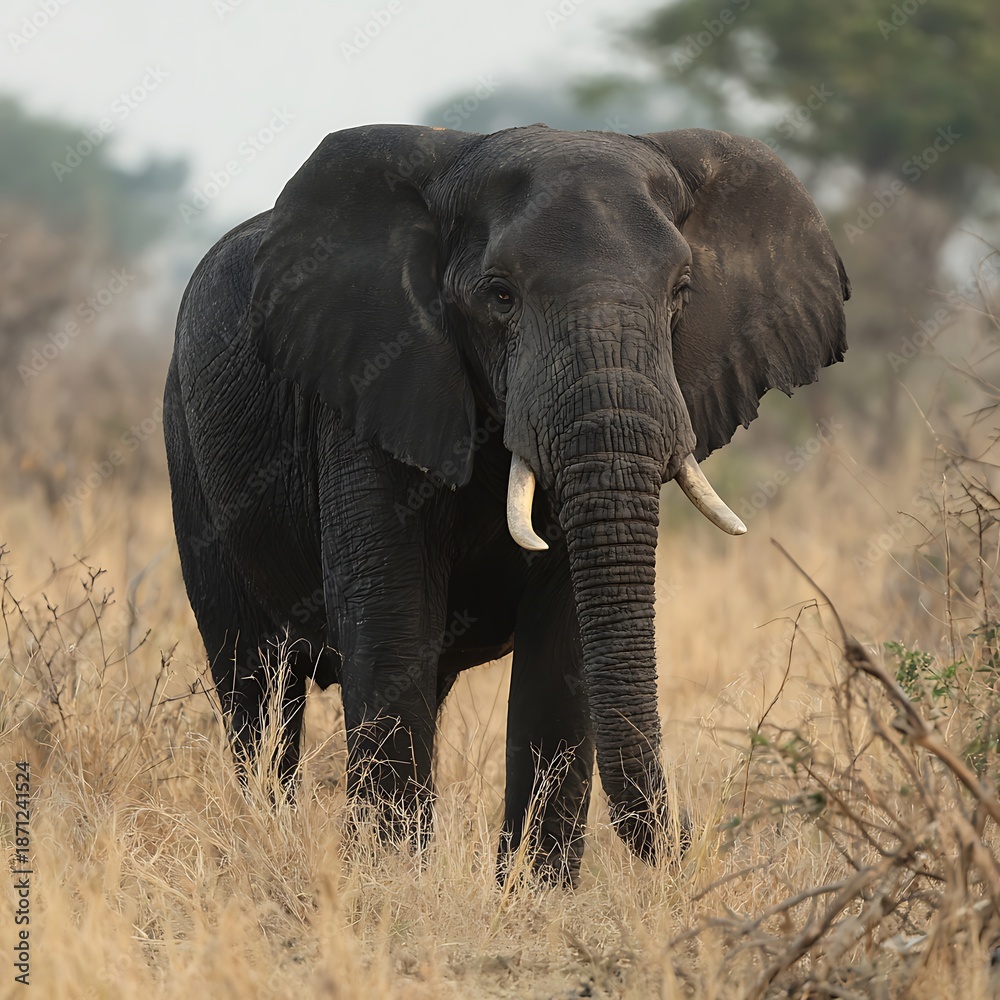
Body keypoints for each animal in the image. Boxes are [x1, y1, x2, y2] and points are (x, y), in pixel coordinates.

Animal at [164, 123, 849, 884]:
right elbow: (393, 618)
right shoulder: (370, 385)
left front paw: (532, 894)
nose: (696, 841)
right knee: (255, 679)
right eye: (499, 296)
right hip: (187, 448)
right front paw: (396, 882)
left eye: (682, 293)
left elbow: (562, 646)